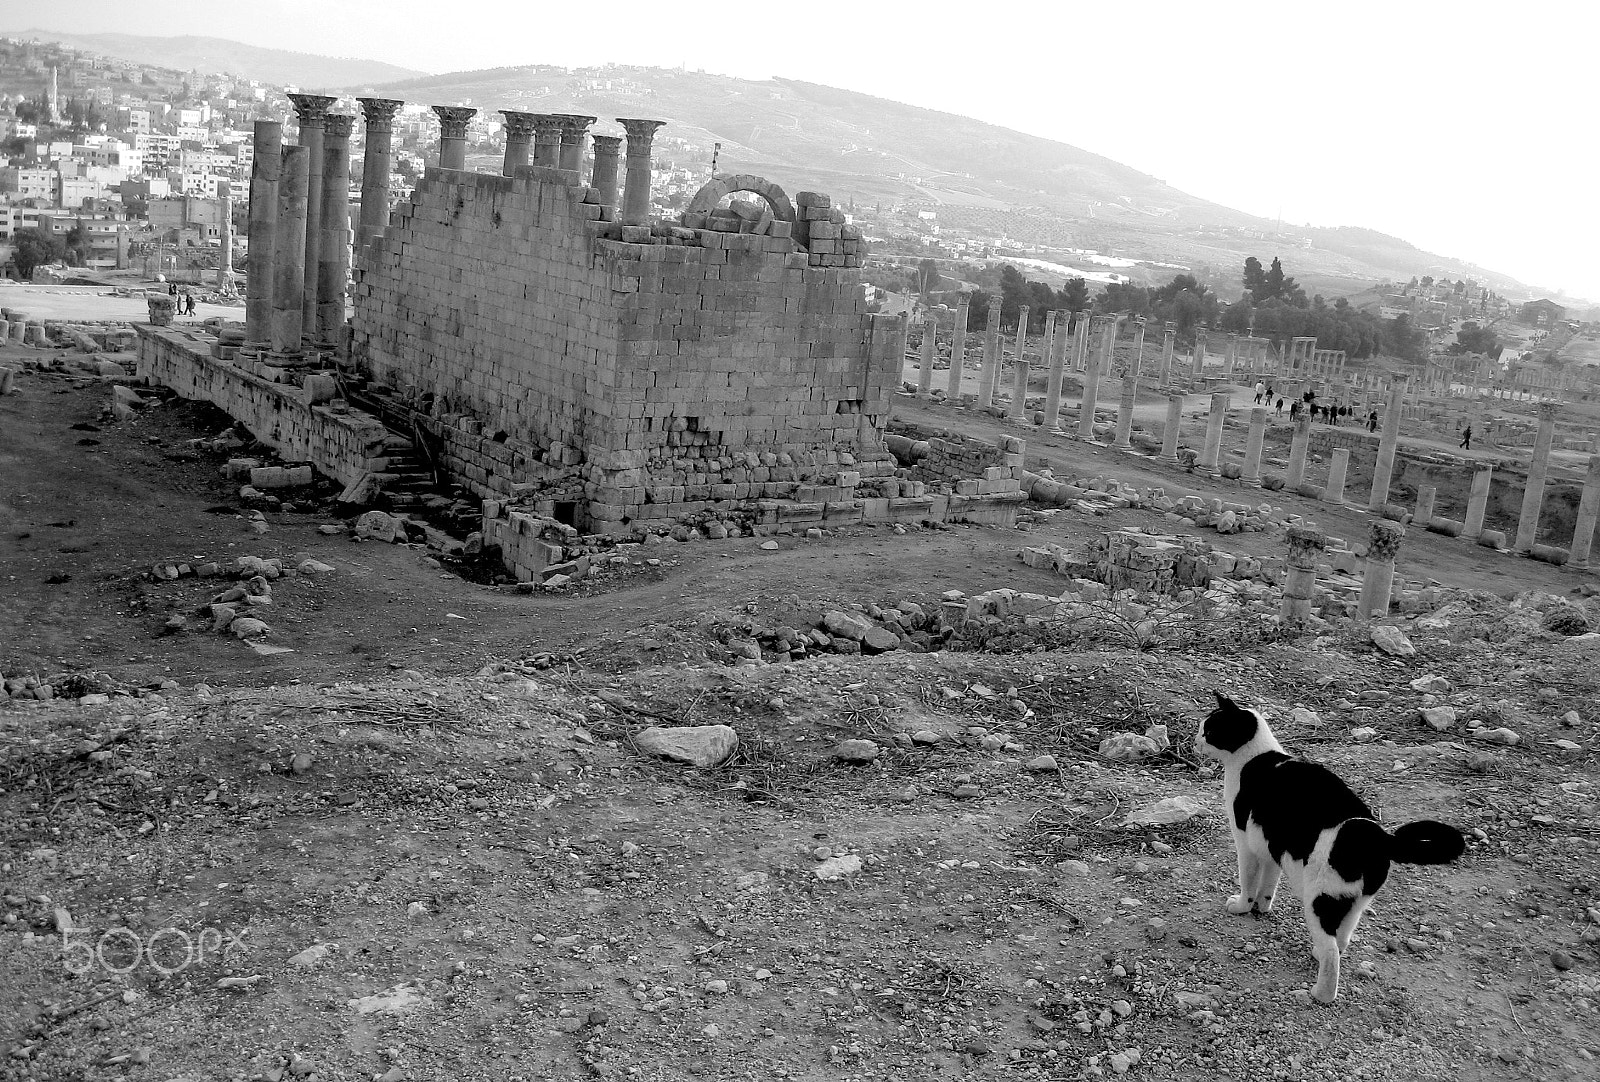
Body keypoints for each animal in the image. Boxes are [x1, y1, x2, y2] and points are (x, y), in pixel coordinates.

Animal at [1196, 688, 1465, 998]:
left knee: (1331, 951)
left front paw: (1242, 906)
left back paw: (1321, 994)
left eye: (1209, 730)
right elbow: (1268, 885)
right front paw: (1262, 908)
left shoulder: (1246, 845)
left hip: (1319, 899)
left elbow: (1249, 882)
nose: (1195, 740)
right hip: (1354, 903)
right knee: (1341, 940)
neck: (1255, 757)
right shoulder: (1272, 848)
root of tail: (1378, 837)